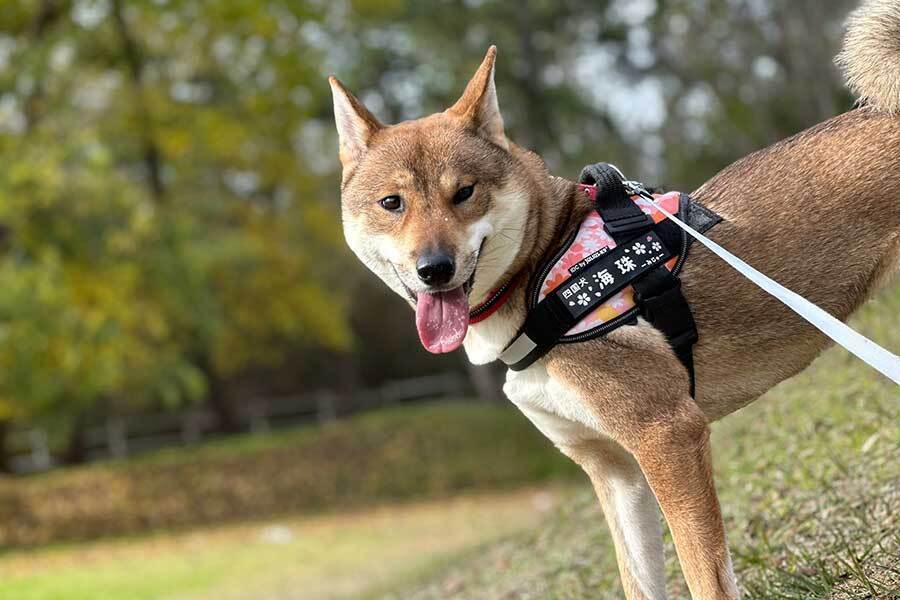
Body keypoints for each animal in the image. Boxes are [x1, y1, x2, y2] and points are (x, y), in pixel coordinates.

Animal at [328, 2, 900, 596]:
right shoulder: (615, 471)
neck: (542, 273)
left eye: (464, 192)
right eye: (391, 203)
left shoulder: (668, 436)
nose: (434, 269)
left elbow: (705, 578)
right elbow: (639, 580)